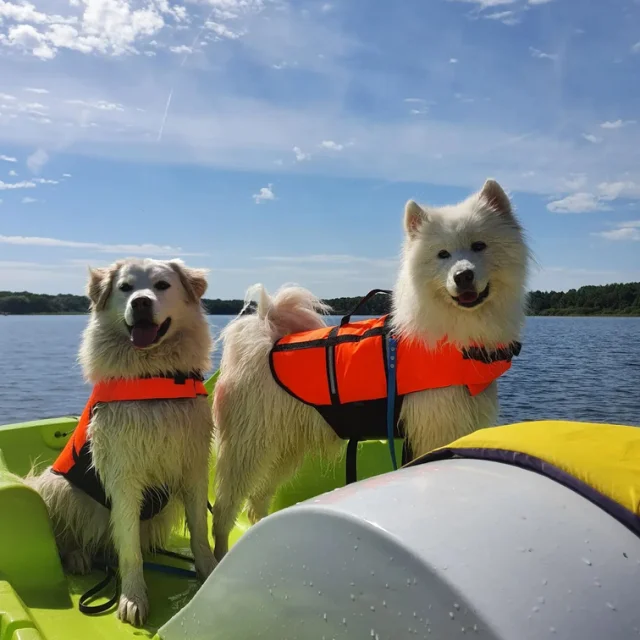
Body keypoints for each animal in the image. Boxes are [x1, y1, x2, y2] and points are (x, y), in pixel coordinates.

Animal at [27, 255, 216, 624]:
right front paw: (133, 598)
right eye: (125, 287)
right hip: (57, 487)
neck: (153, 375)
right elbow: (129, 550)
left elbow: (200, 532)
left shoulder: (194, 467)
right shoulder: (124, 476)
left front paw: (210, 571)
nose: (140, 302)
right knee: (74, 537)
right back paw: (77, 557)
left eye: (162, 285)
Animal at [212, 180, 532, 560]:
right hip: (249, 445)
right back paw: (214, 556)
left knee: (257, 501)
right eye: (442, 254)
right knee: (225, 507)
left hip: (284, 447)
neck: (457, 334)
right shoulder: (433, 426)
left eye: (479, 245)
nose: (463, 275)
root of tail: (264, 332)